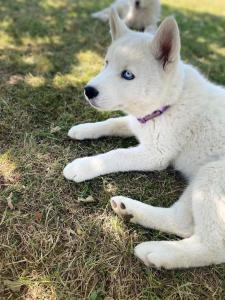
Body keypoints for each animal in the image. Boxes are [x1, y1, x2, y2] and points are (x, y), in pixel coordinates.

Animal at [62, 11, 225, 270]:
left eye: (128, 75)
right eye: (106, 63)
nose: (88, 90)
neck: (170, 102)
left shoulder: (155, 154)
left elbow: (115, 154)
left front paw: (83, 165)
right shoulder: (138, 123)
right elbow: (113, 122)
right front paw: (83, 129)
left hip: (214, 173)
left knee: (213, 247)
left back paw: (159, 252)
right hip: (202, 179)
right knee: (181, 222)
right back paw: (131, 211)